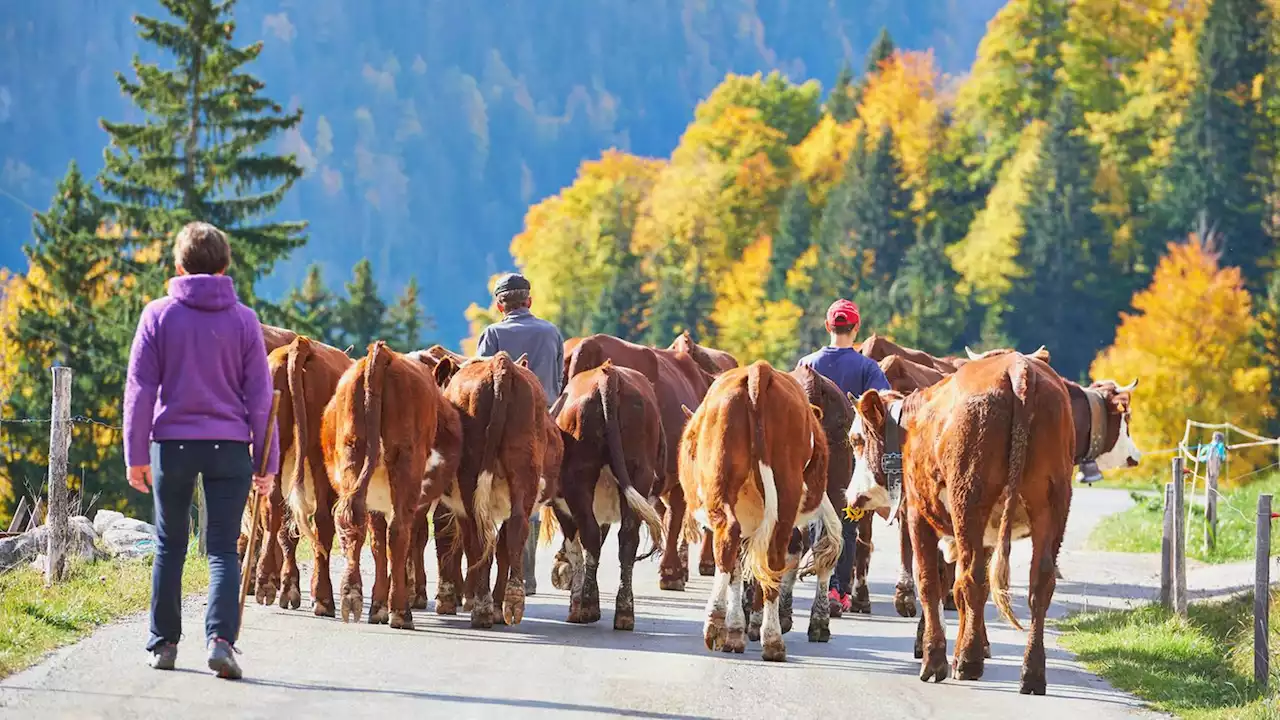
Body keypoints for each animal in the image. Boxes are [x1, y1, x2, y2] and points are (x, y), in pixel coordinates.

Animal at [325, 338, 440, 625]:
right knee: (399, 531)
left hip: (352, 452)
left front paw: (378, 603)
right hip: (406, 463)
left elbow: (377, 542)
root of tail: (380, 355)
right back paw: (400, 611)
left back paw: (351, 595)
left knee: (353, 522)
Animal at [547, 361, 670, 625]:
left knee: (590, 536)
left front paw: (575, 603)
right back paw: (624, 612)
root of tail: (608, 375)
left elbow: (576, 549)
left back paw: (588, 607)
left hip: (580, 477)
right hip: (638, 472)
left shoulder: (563, 507)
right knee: (627, 540)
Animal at [675, 361, 844, 661]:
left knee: (732, 542)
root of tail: (758, 371)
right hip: (786, 494)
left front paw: (736, 627)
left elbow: (739, 569)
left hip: (730, 490)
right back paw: (773, 637)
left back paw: (721, 624)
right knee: (776, 555)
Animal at [844, 351, 1075, 691]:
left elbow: (929, 581)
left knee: (972, 577)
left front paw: (934, 657)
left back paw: (968, 661)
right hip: (1052, 504)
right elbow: (951, 586)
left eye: (857, 440)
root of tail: (1018, 367)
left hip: (968, 501)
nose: (852, 496)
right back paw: (1031, 673)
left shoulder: (918, 514)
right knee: (1039, 582)